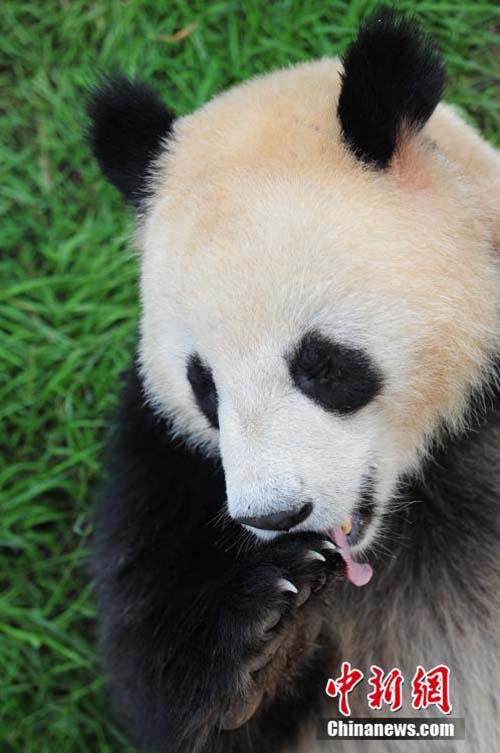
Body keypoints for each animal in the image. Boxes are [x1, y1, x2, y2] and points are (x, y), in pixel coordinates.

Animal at [89, 10, 500, 752]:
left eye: (320, 363)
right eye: (205, 386)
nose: (274, 516)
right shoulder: (164, 458)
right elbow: (155, 665)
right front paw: (268, 628)